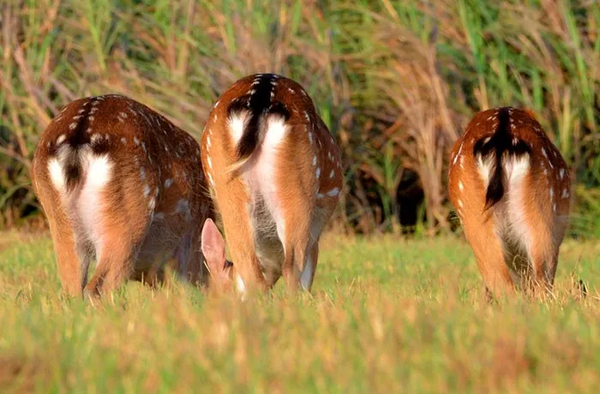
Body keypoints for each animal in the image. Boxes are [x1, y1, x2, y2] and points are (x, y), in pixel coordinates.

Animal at [199, 74, 342, 296]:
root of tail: (261, 97)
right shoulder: (315, 235)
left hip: (227, 187)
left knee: (250, 266)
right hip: (297, 187)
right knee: (290, 268)